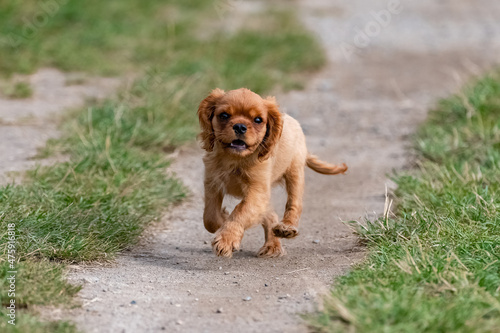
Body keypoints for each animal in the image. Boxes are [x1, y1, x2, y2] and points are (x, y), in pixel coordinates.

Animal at [197, 87, 346, 256]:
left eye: (258, 120)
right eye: (224, 115)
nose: (240, 126)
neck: (235, 159)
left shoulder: (257, 191)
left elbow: (240, 211)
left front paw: (226, 240)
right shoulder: (212, 183)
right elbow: (210, 217)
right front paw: (223, 218)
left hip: (295, 174)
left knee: (294, 204)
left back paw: (285, 229)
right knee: (270, 214)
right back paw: (272, 245)